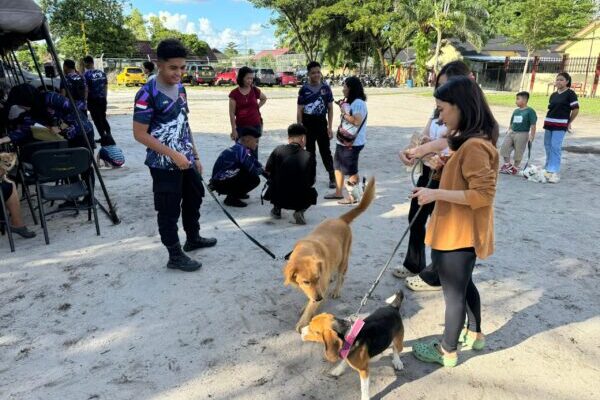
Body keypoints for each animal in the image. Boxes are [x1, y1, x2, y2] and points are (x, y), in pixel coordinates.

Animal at [282, 178, 376, 332]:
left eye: (317, 278)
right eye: (306, 282)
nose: (320, 298)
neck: (305, 252)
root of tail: (340, 219)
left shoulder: (321, 287)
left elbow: (312, 305)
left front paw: (304, 320)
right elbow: (311, 298)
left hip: (344, 259)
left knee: (341, 277)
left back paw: (336, 289)